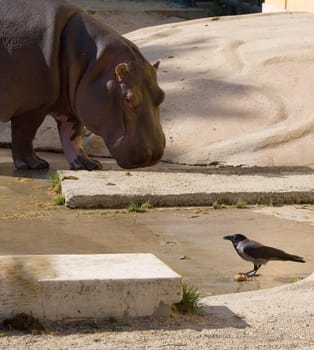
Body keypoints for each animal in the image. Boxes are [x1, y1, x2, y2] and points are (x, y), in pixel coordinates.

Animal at [0, 0, 166, 170]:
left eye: (162, 95)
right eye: (128, 99)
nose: (154, 155)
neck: (92, 63)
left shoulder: (71, 107)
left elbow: (72, 136)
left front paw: (89, 165)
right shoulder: (31, 107)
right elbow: (24, 135)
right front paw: (35, 164)